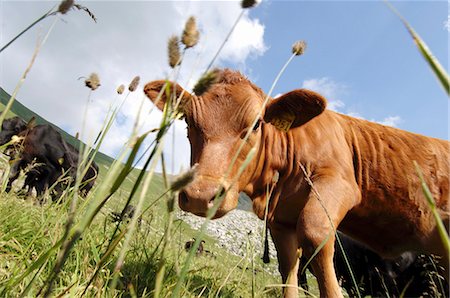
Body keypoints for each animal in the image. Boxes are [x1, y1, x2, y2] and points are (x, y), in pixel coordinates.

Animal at [145, 68, 450, 296]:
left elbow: (315, 232)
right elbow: (289, 266)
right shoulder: (281, 219)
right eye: (188, 121)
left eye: (257, 124)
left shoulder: (338, 182)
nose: (200, 194)